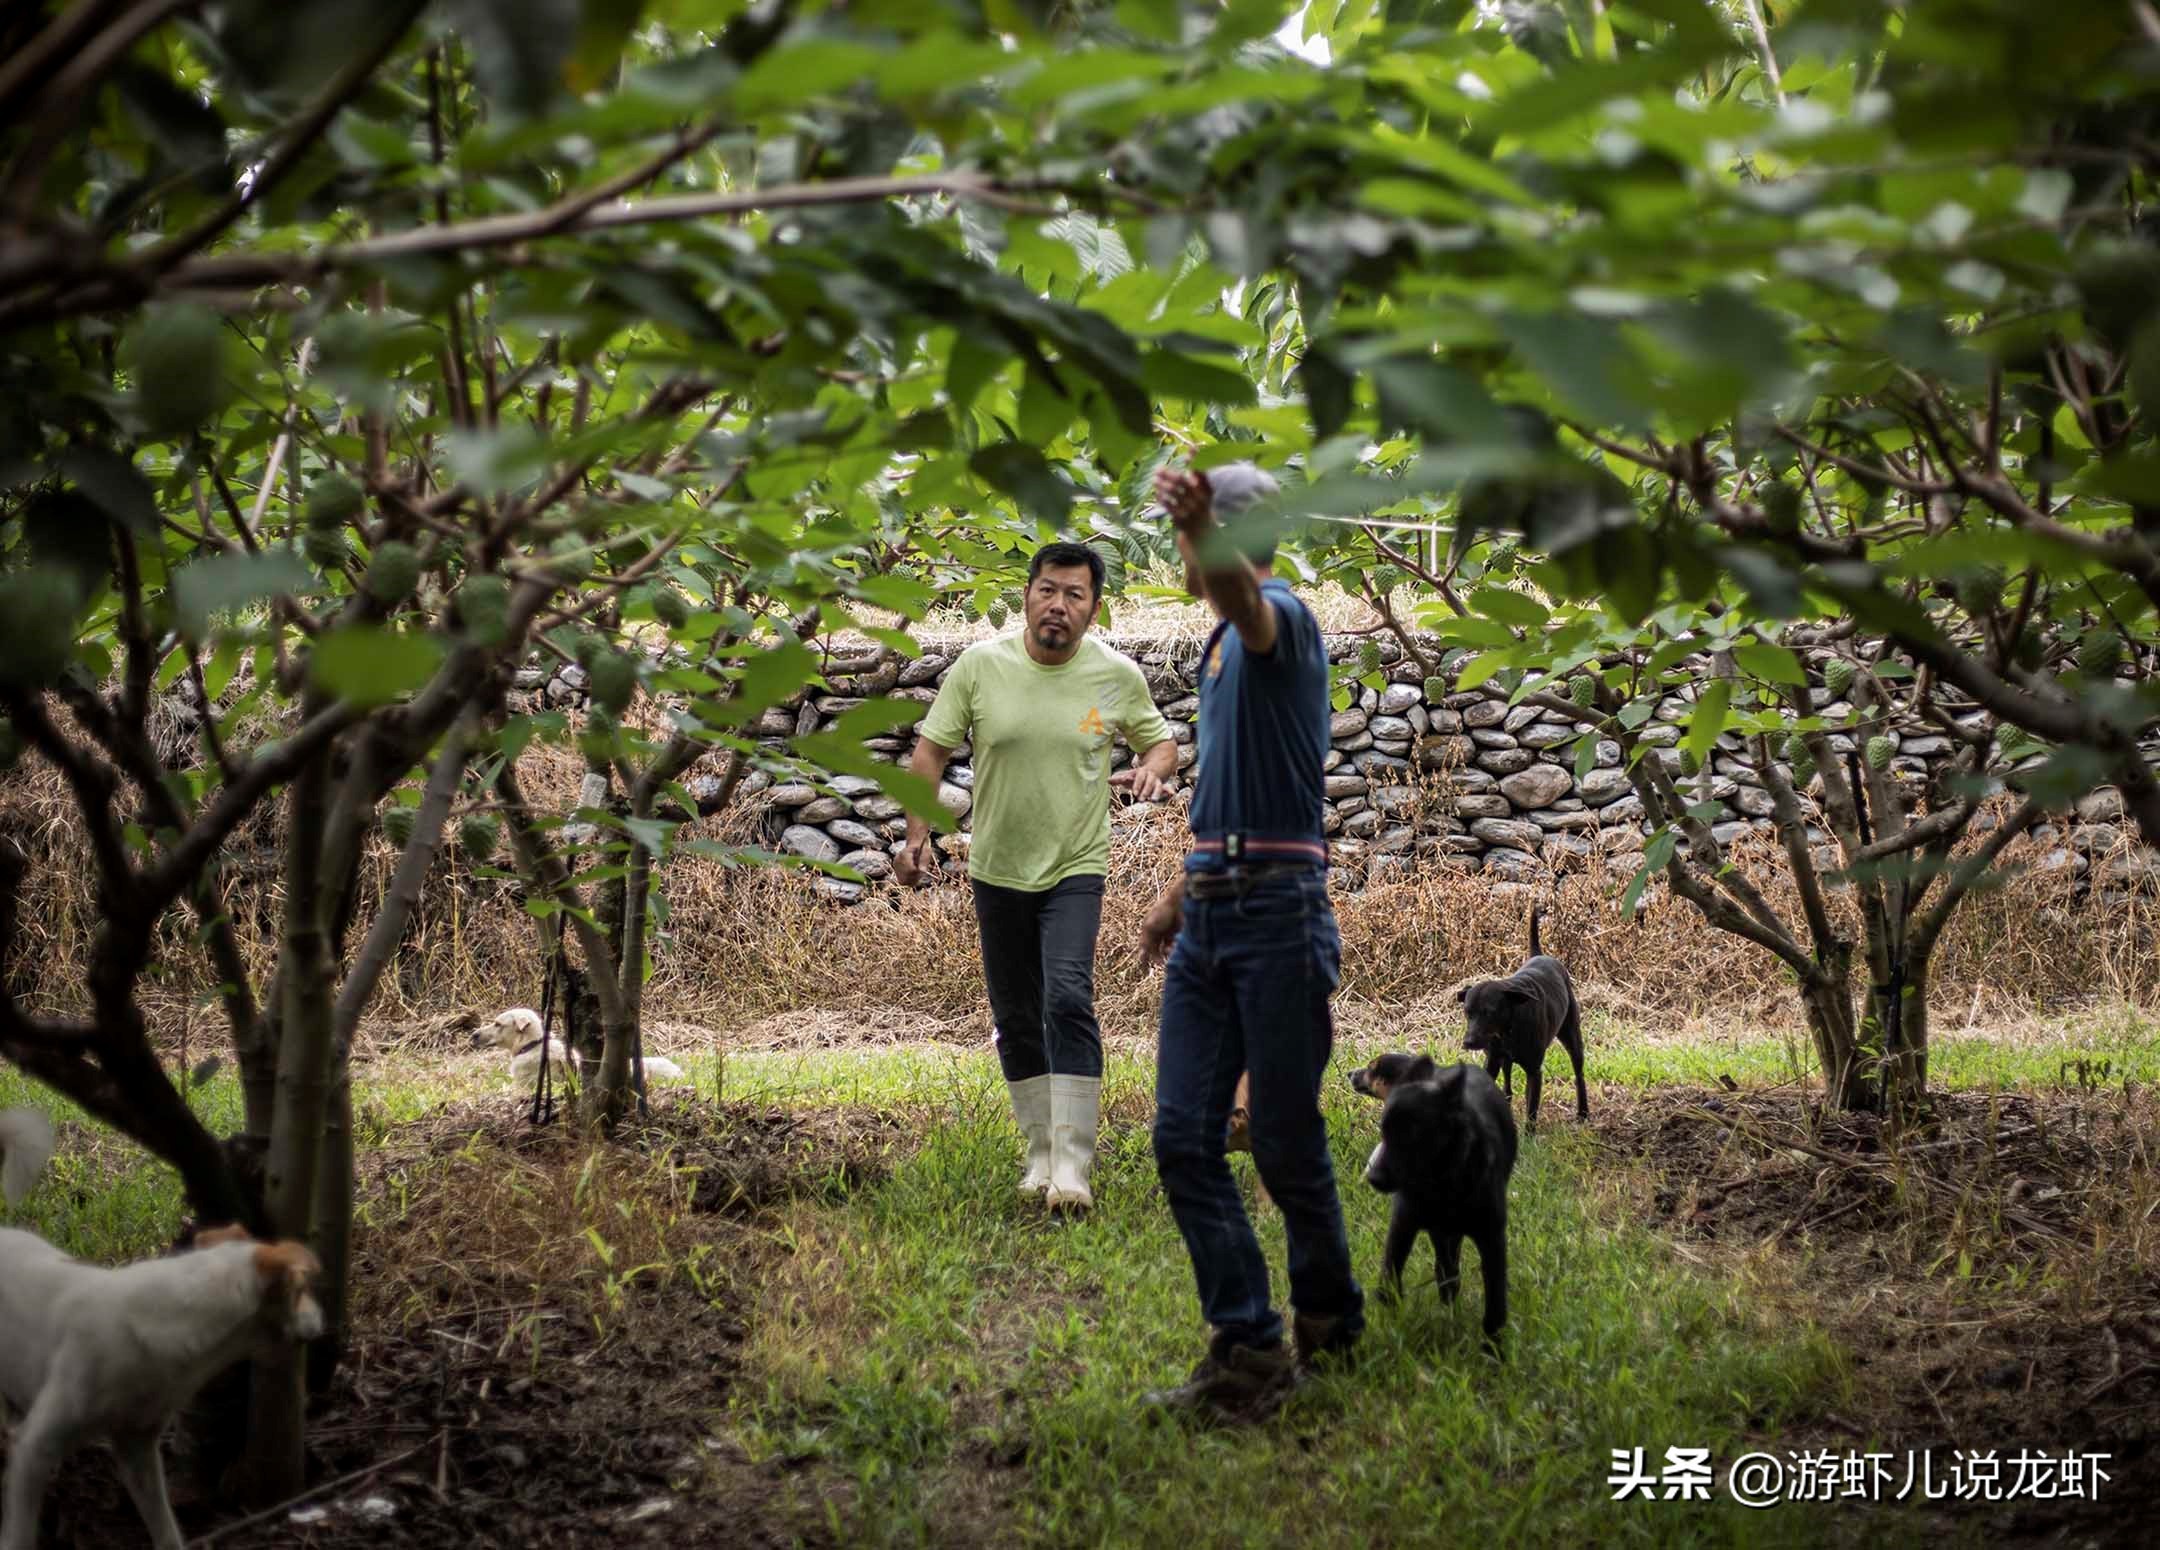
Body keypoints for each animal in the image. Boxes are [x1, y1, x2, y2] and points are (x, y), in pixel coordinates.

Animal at [0, 1105, 321, 1550]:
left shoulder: (137, 1447)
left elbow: (166, 1531)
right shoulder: (36, 1447)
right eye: (302, 1289)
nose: (323, 1324)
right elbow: (18, 1533)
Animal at [1356, 1062, 1512, 1355]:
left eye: (1413, 1134)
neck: (1441, 1183)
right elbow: (1390, 1277)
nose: (1373, 1177)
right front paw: (1393, 1319)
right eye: (1383, 1131)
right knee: (1445, 1271)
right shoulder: (1404, 1222)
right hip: (1440, 1232)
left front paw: (1493, 1351)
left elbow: (1496, 1303)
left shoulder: (1492, 1238)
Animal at [1451, 911, 1589, 1131]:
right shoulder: (1492, 1061)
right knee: (1507, 1081)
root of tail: (1539, 955)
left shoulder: (1534, 1071)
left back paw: (1583, 1111)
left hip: (1572, 1036)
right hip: (1505, 1060)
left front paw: (1529, 1134)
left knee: (1579, 1074)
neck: (1507, 1030)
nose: (1469, 1042)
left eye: (1489, 1012)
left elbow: (1531, 1107)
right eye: (1467, 1012)